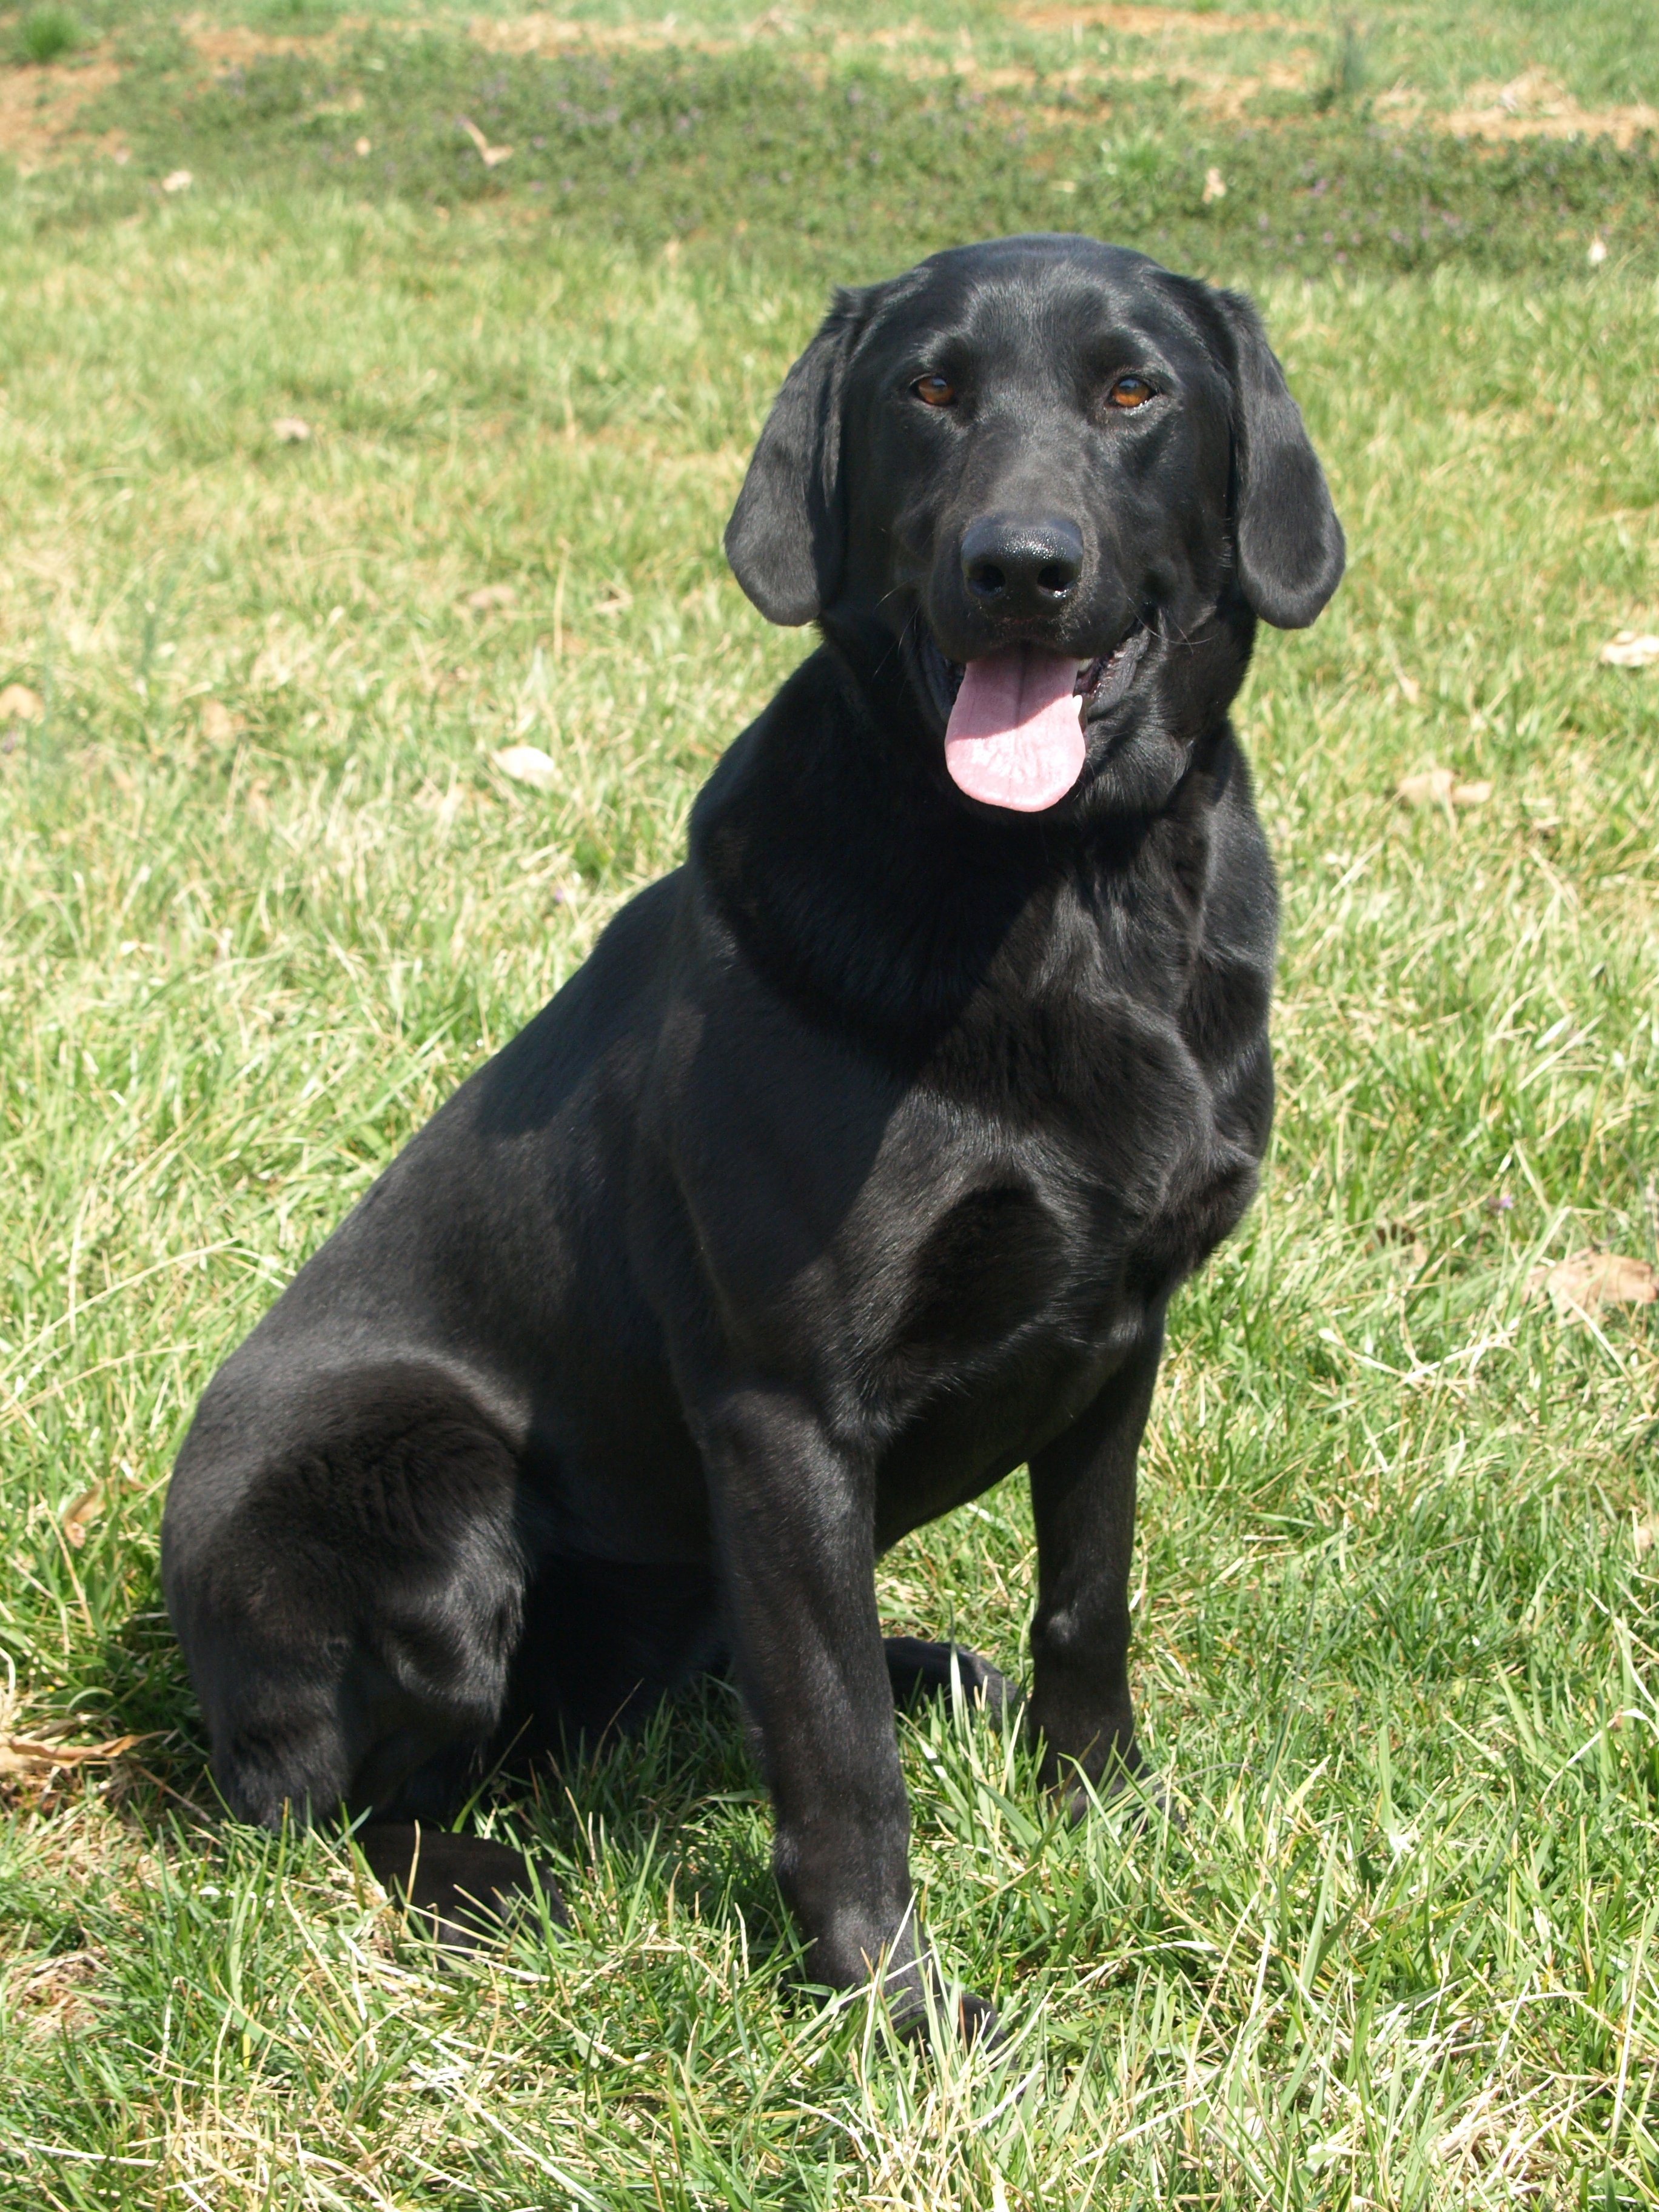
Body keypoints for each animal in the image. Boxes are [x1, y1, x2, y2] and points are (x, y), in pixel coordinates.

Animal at [163, 229, 1344, 2035]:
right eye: (928, 389)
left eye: (1133, 390)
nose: (1019, 567)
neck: (1064, 888)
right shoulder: (782, 1407)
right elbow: (837, 1753)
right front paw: (899, 2015)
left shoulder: (1120, 1334)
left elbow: (1085, 1600)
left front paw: (1099, 1806)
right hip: (423, 1497)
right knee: (334, 1805)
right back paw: (503, 1879)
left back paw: (934, 1668)